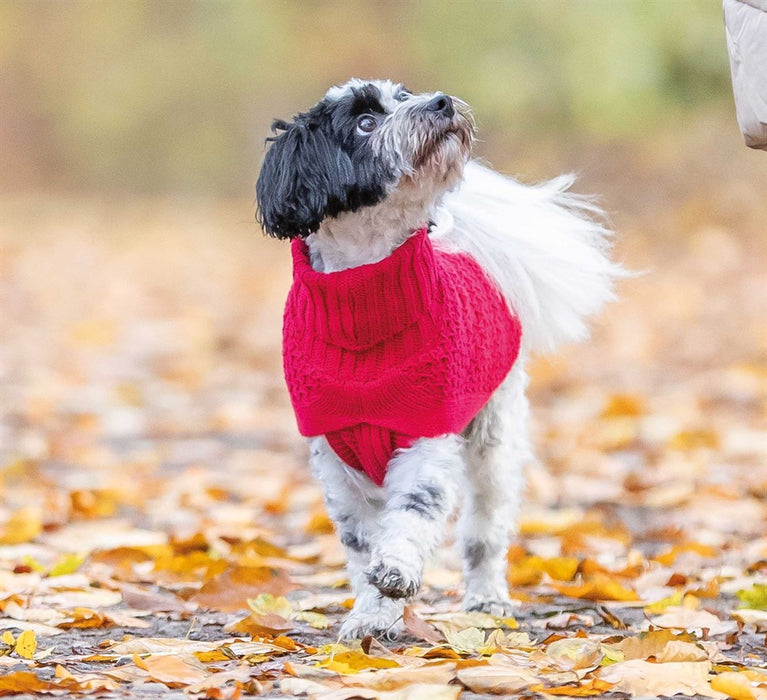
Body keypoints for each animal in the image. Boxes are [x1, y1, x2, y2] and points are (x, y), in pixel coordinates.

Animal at [255, 78, 620, 640]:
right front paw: (370, 616)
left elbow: (411, 513)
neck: (366, 305)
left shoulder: (426, 435)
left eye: (406, 95)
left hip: (494, 441)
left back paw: (487, 600)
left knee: (484, 533)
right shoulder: (338, 459)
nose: (441, 102)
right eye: (365, 122)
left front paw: (395, 573)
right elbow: (361, 545)